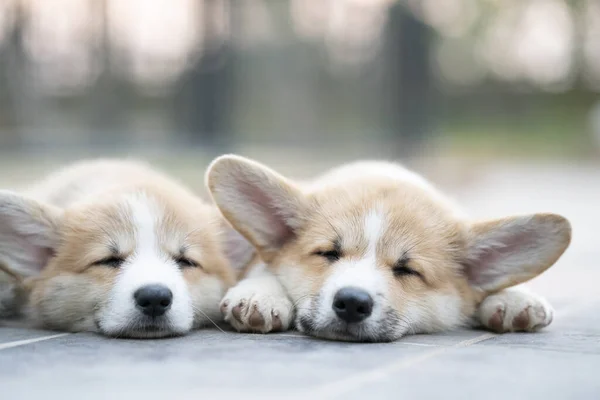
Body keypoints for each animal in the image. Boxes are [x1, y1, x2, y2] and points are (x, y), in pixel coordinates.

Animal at [205, 155, 572, 342]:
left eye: (407, 270)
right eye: (328, 254)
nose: (352, 303)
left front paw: (516, 298)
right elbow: (264, 268)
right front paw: (259, 295)